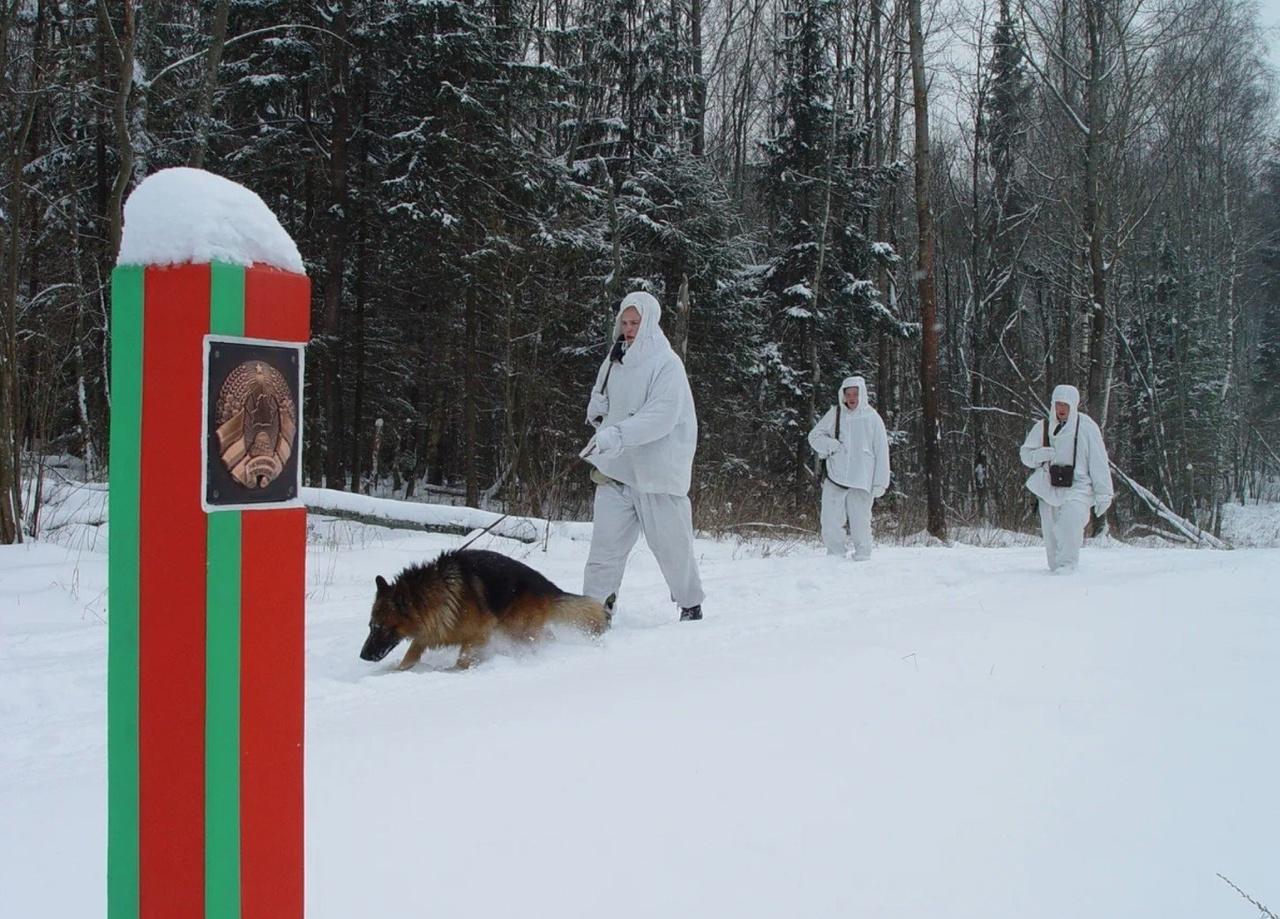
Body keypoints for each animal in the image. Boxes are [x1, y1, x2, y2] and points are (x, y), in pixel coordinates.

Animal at [360, 550, 614, 670]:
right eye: (371, 626)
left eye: (381, 628)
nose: (363, 656)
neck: (436, 595)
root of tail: (549, 587)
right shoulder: (430, 632)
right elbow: (410, 655)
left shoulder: (478, 634)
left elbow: (463, 660)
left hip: (516, 628)